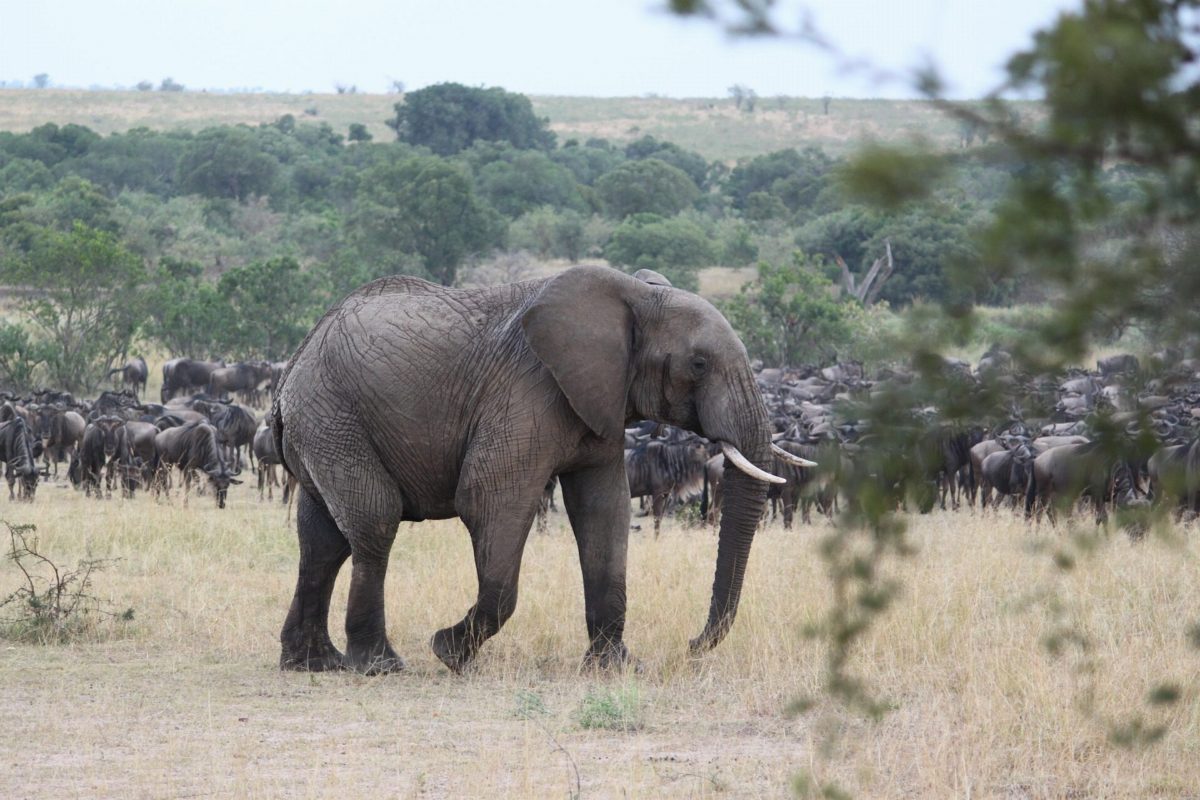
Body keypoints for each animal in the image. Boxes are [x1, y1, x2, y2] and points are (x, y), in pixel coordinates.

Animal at [274, 264, 813, 674]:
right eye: (699, 364)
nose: (691, 645)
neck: (635, 297)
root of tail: (297, 358)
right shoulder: (527, 390)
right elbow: (488, 498)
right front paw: (448, 652)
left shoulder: (600, 402)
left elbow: (604, 512)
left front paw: (615, 668)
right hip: (332, 415)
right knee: (374, 522)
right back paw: (380, 666)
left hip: (322, 424)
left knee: (322, 541)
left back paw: (313, 663)